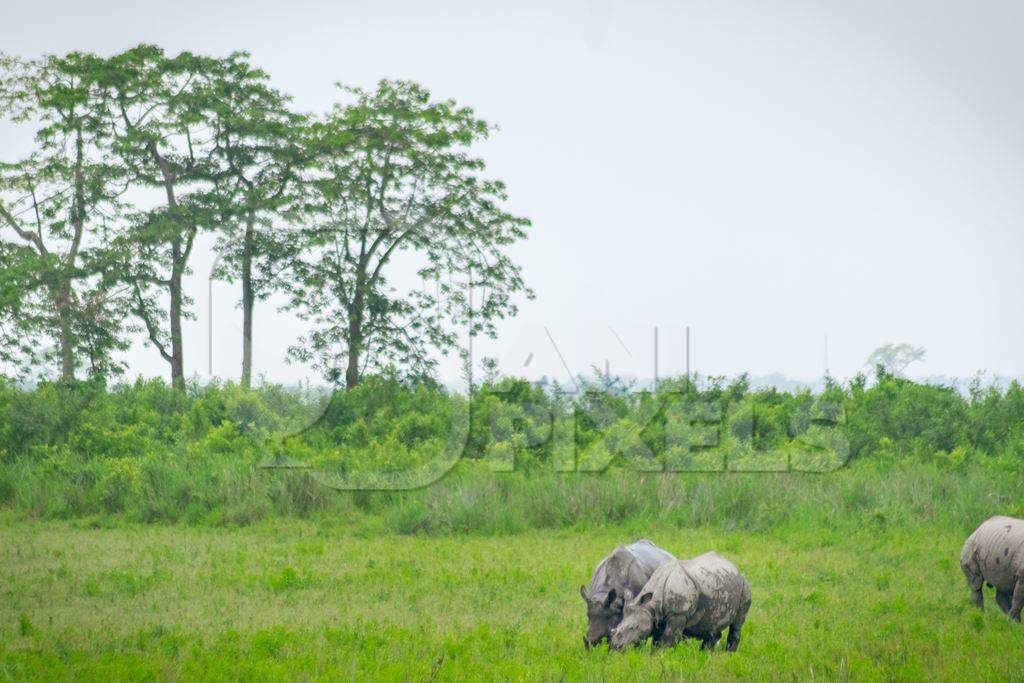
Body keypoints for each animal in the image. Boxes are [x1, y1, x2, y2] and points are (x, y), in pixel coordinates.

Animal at [606, 548, 753, 651]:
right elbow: (656, 642)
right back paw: (705, 655)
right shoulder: (658, 616)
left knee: (738, 623)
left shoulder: (679, 613)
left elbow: (667, 641)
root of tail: (735, 567)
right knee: (713, 627)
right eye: (616, 628)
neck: (651, 606)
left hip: (744, 585)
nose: (616, 646)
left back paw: (729, 655)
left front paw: (662, 656)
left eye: (632, 628)